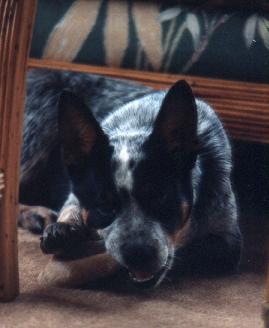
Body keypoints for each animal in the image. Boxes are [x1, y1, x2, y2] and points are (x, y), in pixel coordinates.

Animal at [17, 68, 242, 288]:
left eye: (161, 198)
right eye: (103, 207)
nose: (138, 254)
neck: (137, 126)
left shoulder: (228, 241)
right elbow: (73, 208)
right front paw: (63, 230)